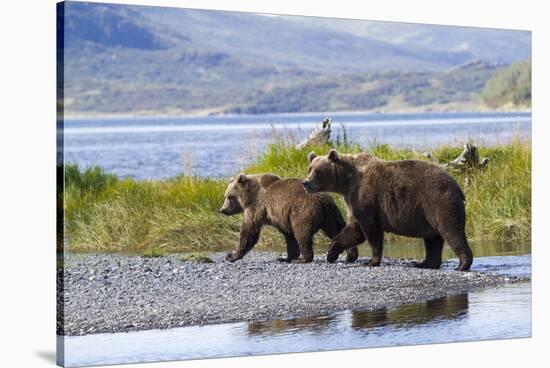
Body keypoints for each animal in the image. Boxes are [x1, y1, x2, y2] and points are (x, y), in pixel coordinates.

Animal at [221, 173, 362, 264]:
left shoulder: (256, 207)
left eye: (230, 197)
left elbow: (249, 232)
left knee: (302, 233)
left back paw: (303, 258)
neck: (249, 196)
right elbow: (288, 235)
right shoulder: (280, 216)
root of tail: (323, 200)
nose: (222, 210)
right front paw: (285, 257)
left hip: (302, 211)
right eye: (225, 196)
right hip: (331, 215)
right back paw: (350, 255)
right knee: (338, 229)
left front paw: (231, 255)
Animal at [302, 148, 474, 272]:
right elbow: (353, 230)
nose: (305, 182)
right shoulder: (351, 201)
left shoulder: (366, 197)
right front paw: (331, 252)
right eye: (310, 168)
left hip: (438, 201)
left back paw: (462, 264)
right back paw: (424, 263)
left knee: (450, 231)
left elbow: (371, 230)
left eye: (318, 171)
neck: (347, 183)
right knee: (433, 239)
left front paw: (371, 261)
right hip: (428, 213)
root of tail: (457, 185)